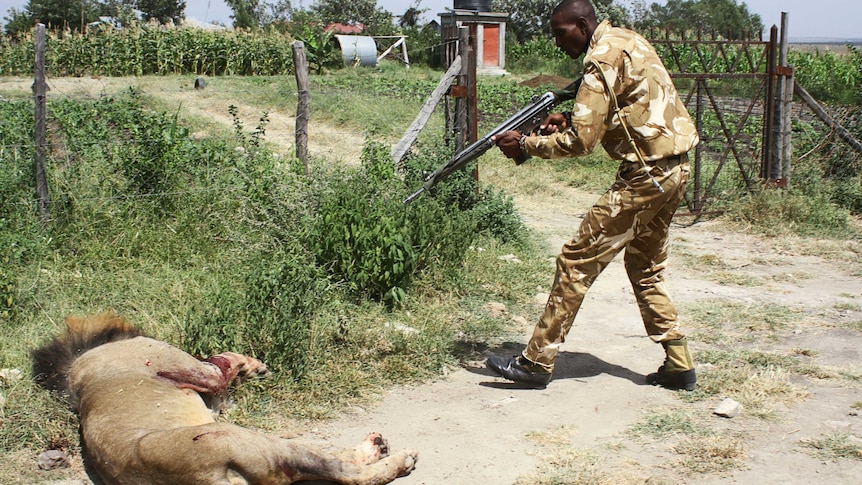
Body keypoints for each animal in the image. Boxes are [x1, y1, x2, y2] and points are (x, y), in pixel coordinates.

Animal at [33, 312, 422, 482]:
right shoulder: (191, 370)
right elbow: (220, 365)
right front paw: (252, 366)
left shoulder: (209, 395)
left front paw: (250, 369)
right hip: (241, 440)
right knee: (344, 471)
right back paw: (397, 459)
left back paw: (376, 446)